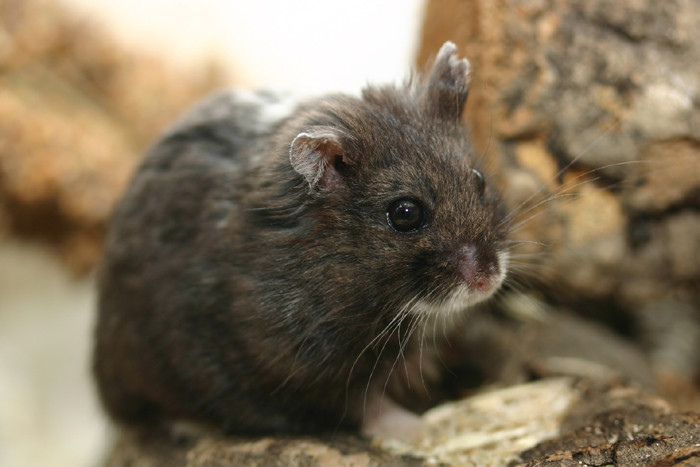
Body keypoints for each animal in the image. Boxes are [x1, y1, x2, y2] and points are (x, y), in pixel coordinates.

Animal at [93, 42, 510, 436]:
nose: (489, 280)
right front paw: (417, 430)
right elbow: (363, 403)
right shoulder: (300, 361)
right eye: (406, 213)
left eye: (479, 180)